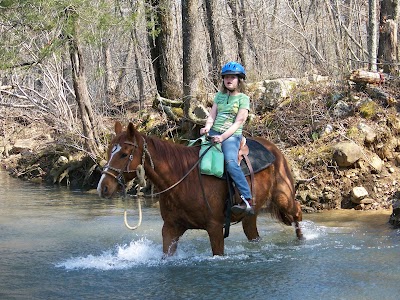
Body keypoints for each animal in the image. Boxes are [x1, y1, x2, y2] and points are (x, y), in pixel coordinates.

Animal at [97, 121, 304, 255]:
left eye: (124, 154)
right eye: (108, 152)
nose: (103, 188)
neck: (183, 178)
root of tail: (273, 148)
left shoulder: (215, 228)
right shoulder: (171, 228)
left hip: (283, 196)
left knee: (297, 211)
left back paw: (301, 239)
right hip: (250, 214)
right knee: (253, 232)